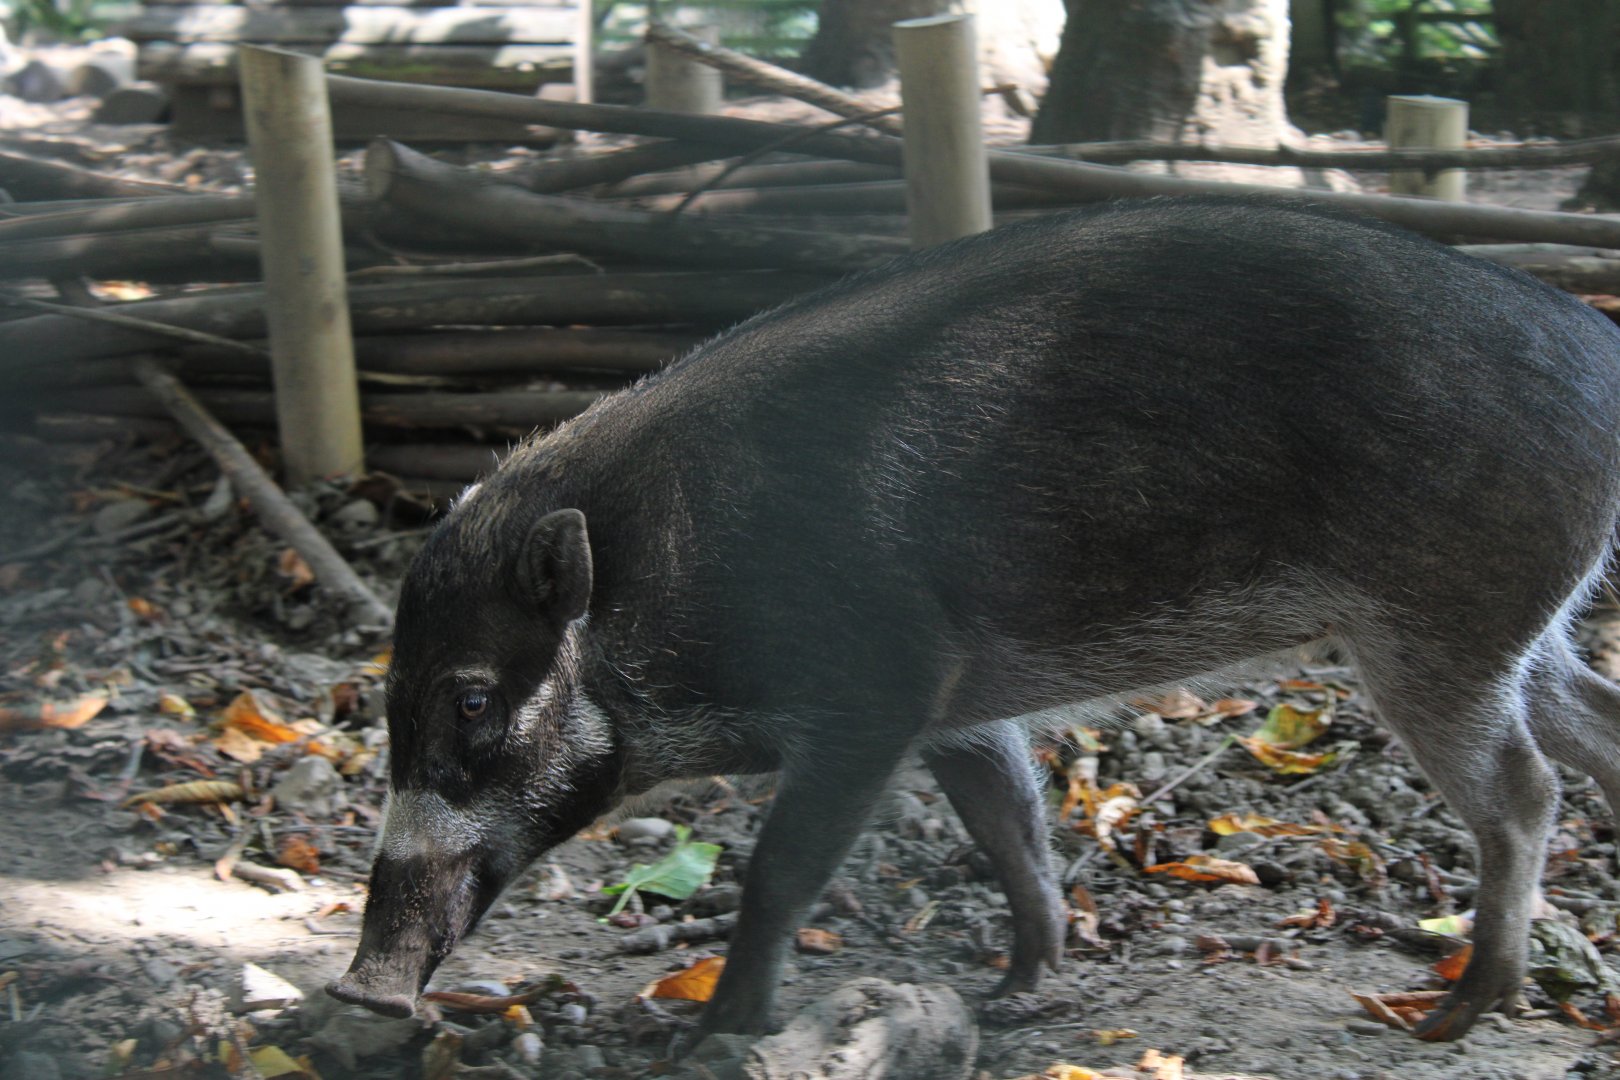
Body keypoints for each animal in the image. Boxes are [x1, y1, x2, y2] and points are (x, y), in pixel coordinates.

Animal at [329, 196, 1620, 1044]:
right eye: (388, 699)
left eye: (475, 697)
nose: (363, 990)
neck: (666, 580)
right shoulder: (959, 701)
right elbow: (1011, 825)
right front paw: (1015, 996)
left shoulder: (880, 683)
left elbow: (781, 871)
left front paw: (715, 1035)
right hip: (1521, 631)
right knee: (1594, 721)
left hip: (1441, 625)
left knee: (1524, 791)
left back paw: (1457, 1014)